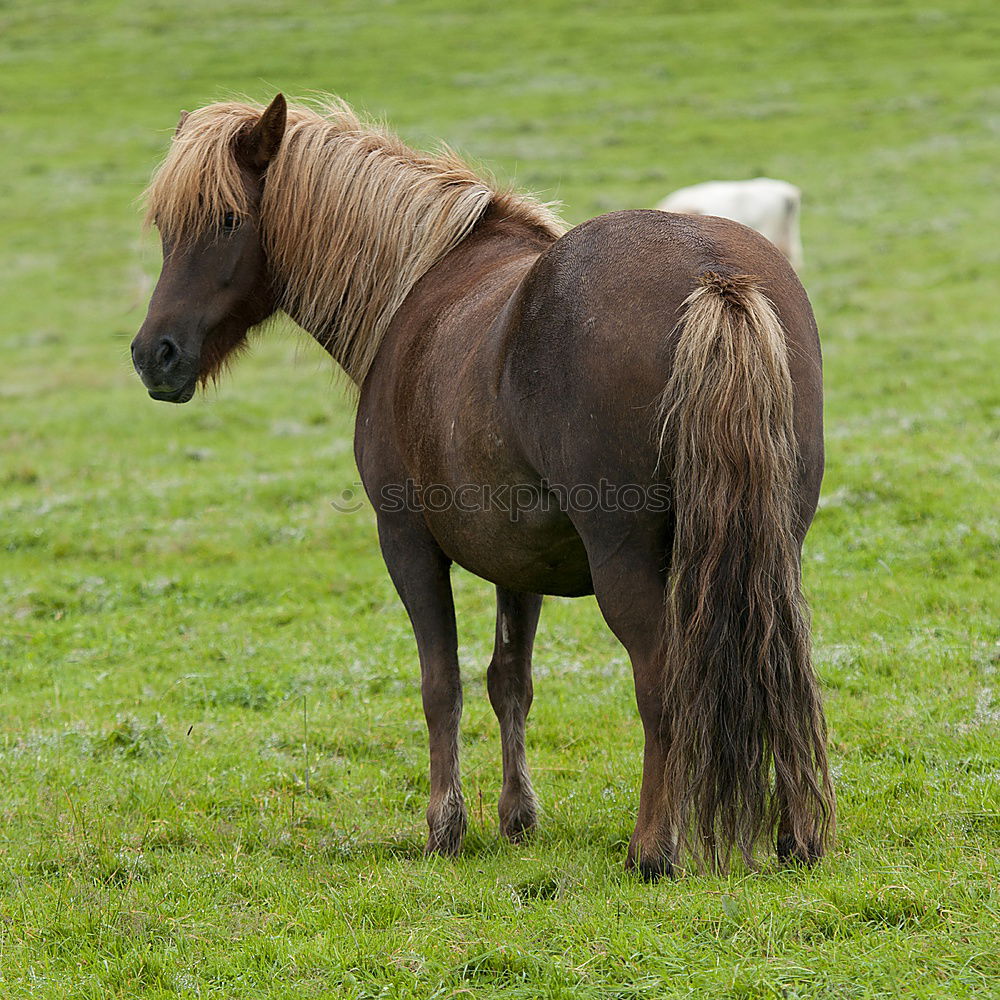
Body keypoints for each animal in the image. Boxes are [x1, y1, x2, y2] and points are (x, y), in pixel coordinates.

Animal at [133, 94, 836, 876]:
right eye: (168, 227)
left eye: (228, 219)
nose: (154, 355)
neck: (417, 286)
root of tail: (715, 277)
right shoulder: (520, 561)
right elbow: (509, 680)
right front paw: (517, 816)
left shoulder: (406, 542)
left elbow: (442, 683)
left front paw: (446, 826)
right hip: (771, 547)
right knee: (780, 662)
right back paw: (798, 840)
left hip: (627, 560)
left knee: (663, 680)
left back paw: (653, 849)